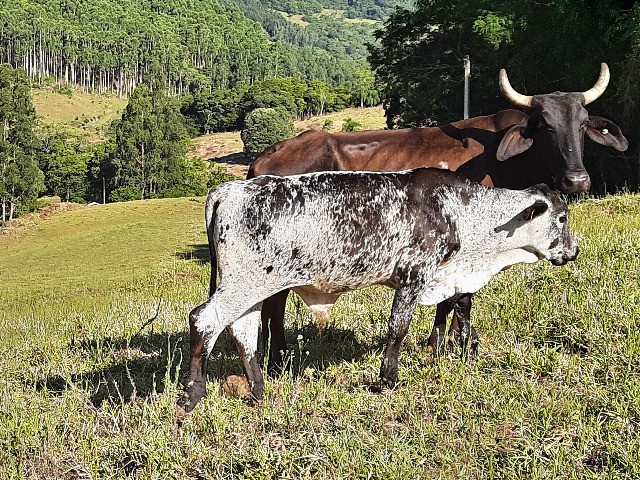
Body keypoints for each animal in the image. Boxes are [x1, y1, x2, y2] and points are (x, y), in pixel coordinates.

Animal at [176, 168, 580, 412]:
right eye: (561, 218)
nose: (574, 250)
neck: (461, 213)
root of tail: (229, 189)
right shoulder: (414, 275)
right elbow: (398, 329)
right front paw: (388, 379)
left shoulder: (448, 280)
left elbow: (457, 313)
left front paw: (458, 351)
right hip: (243, 284)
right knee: (204, 320)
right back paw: (193, 395)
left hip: (251, 288)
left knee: (242, 332)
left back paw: (259, 393)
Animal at [242, 62, 628, 372]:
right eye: (545, 126)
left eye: (582, 125)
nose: (576, 180)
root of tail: (266, 156)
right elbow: (461, 296)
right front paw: (454, 344)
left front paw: (441, 342)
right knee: (274, 306)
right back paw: (276, 361)